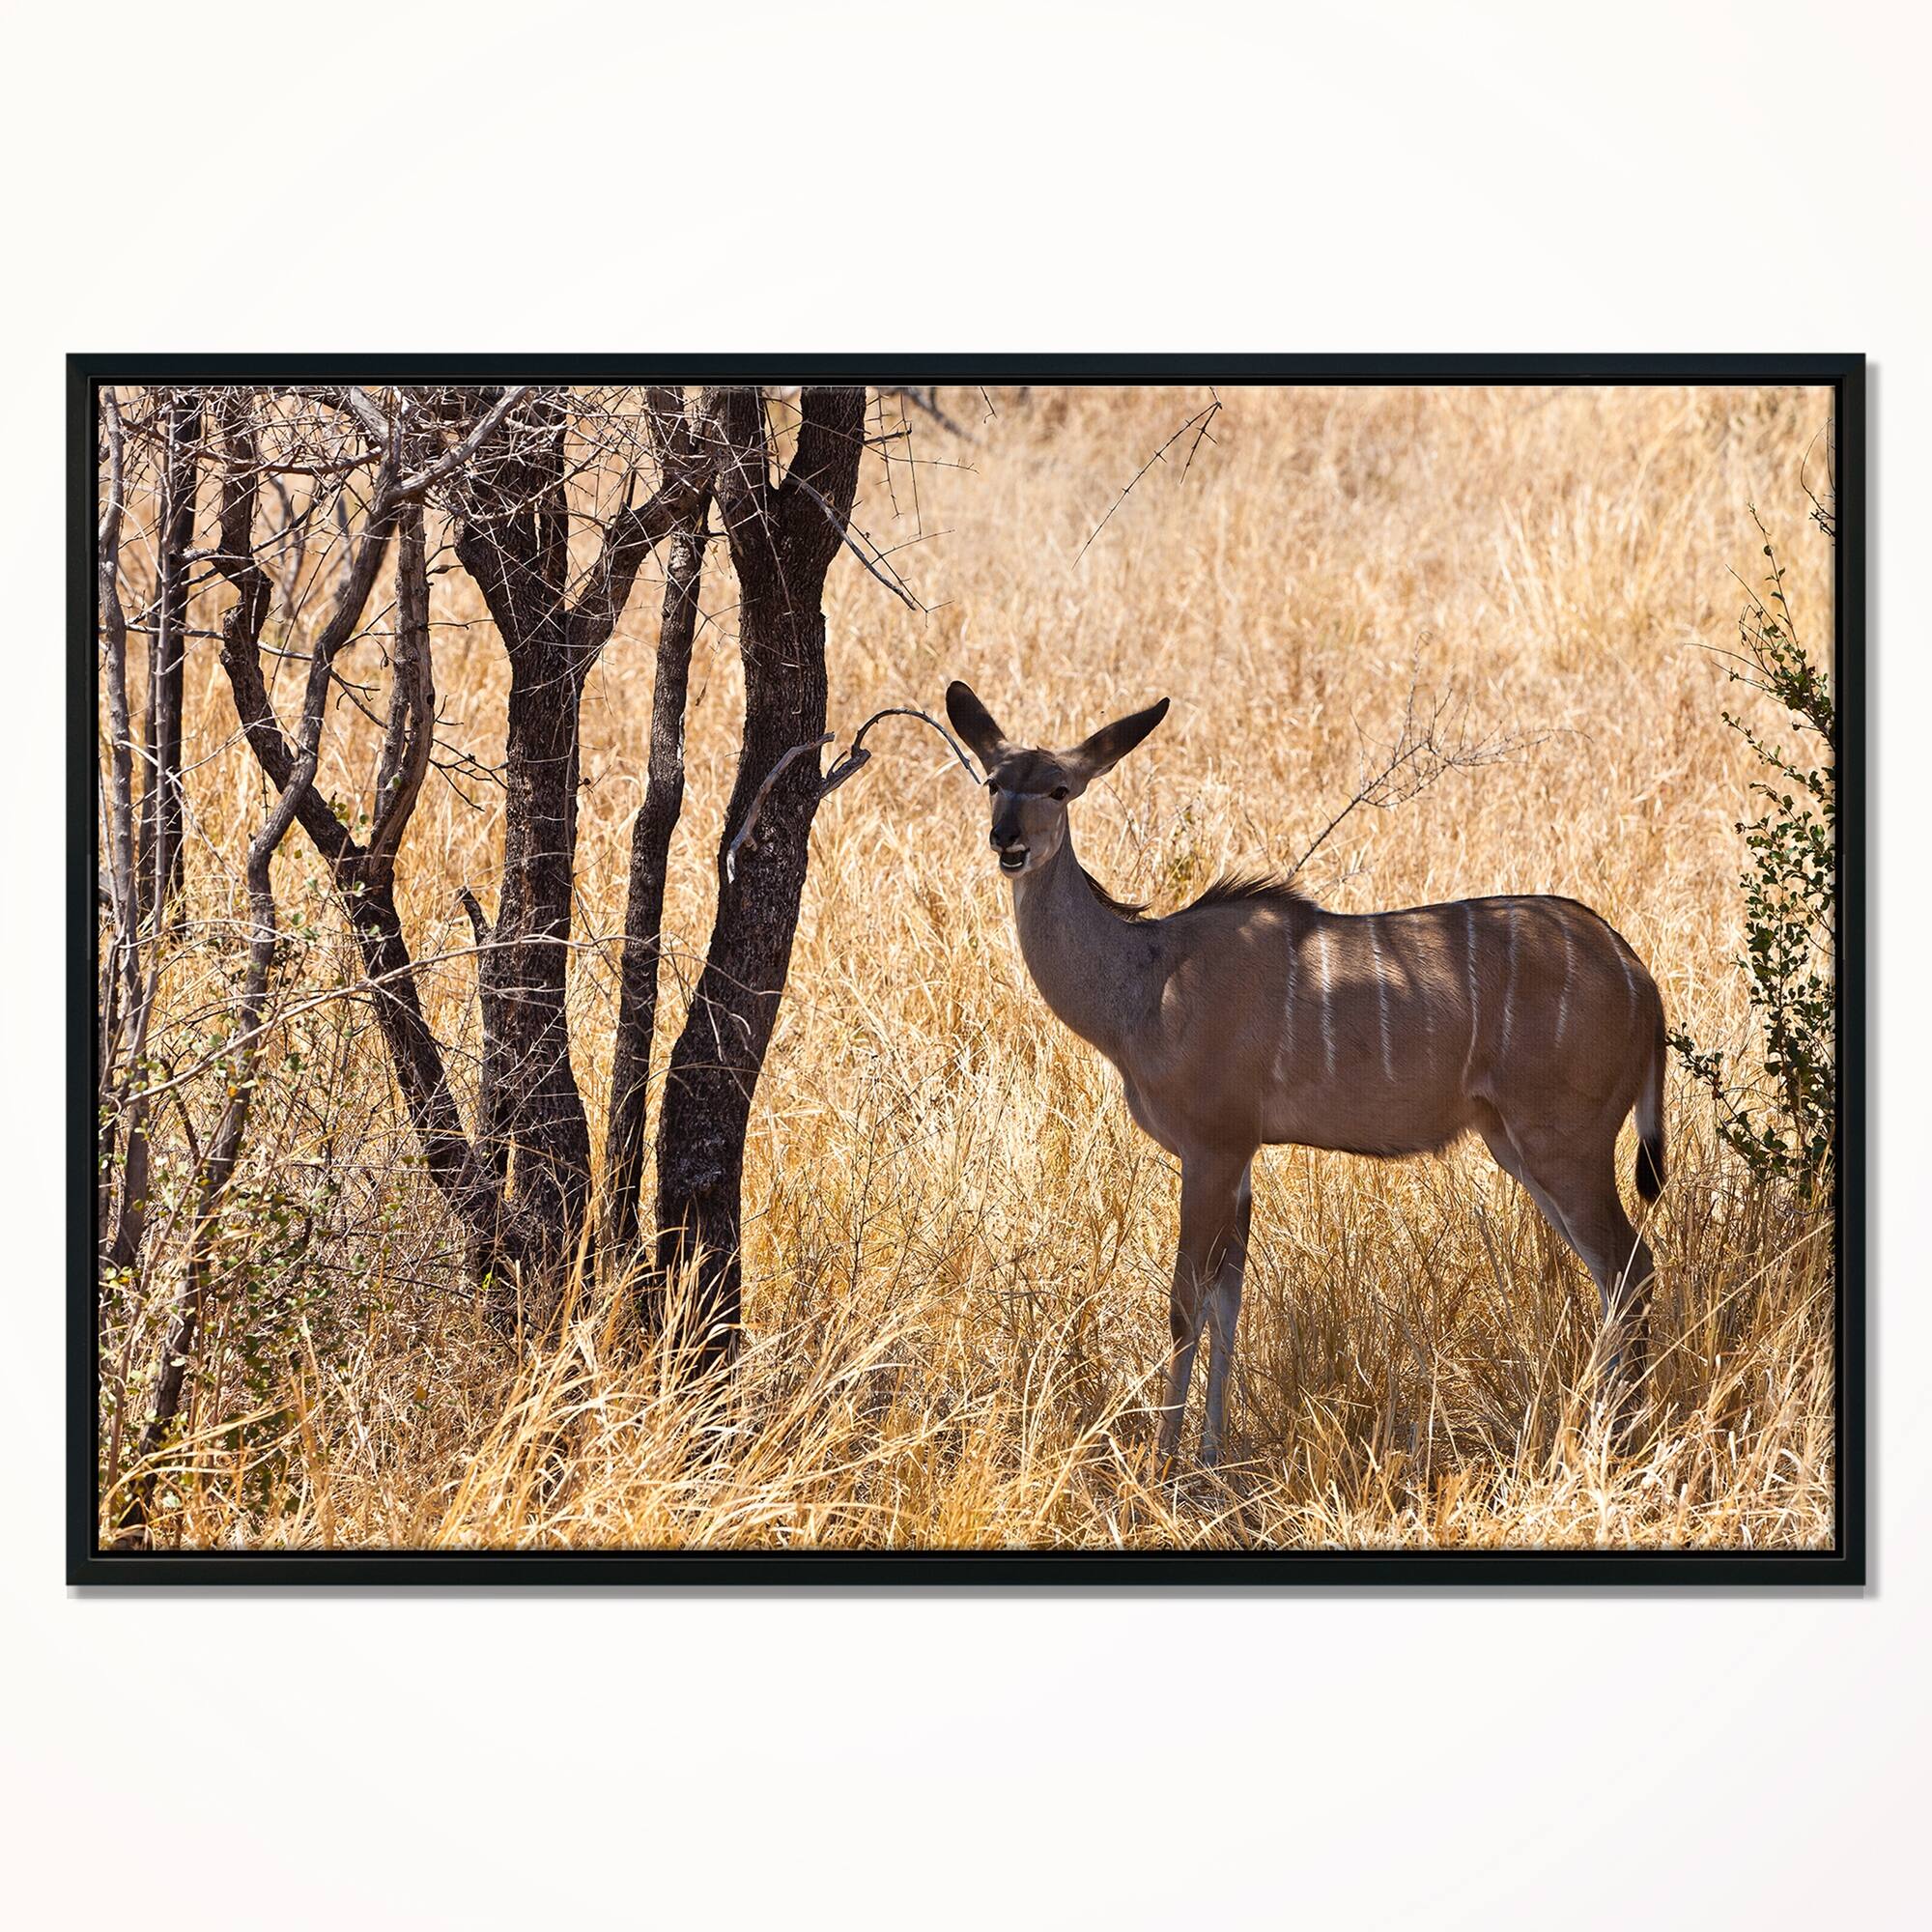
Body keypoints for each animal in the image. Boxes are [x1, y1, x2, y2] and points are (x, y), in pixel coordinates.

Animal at [944, 680, 1667, 1468]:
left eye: (1059, 788)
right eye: (993, 781)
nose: (1008, 842)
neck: (1147, 981)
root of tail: (1641, 980)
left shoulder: (1212, 1148)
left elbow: (1184, 1303)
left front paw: (1163, 1462)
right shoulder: (1241, 1160)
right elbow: (1228, 1302)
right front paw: (1213, 1454)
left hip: (1565, 1143)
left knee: (1631, 1268)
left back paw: (1614, 1435)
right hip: (1517, 1145)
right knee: (1615, 1275)